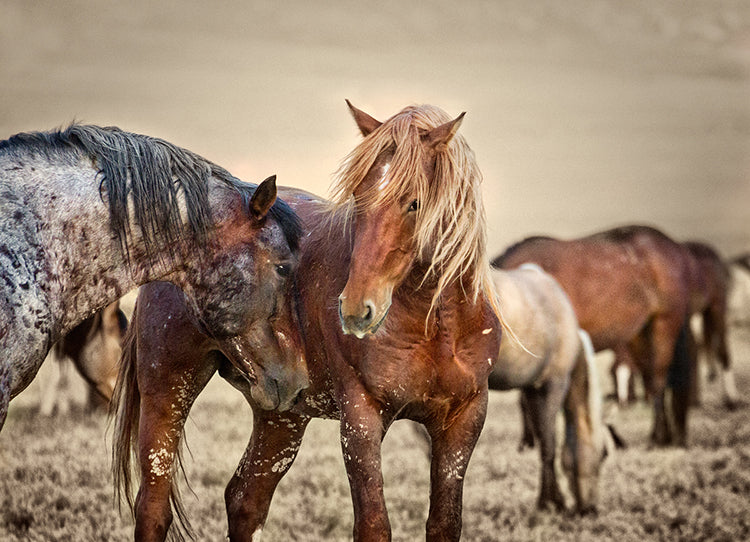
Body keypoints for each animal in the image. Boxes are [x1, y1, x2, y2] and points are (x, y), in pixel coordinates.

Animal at [113, 103, 501, 541]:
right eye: (358, 197)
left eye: (413, 203)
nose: (354, 309)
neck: (435, 325)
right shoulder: (360, 419)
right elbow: (373, 525)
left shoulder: (463, 422)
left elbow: (444, 523)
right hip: (169, 388)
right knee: (154, 506)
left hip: (281, 412)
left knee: (244, 500)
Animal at [493, 226, 695, 447]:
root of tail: (674, 247)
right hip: (641, 334)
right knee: (650, 378)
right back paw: (663, 436)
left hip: (663, 325)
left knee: (658, 381)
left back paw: (657, 436)